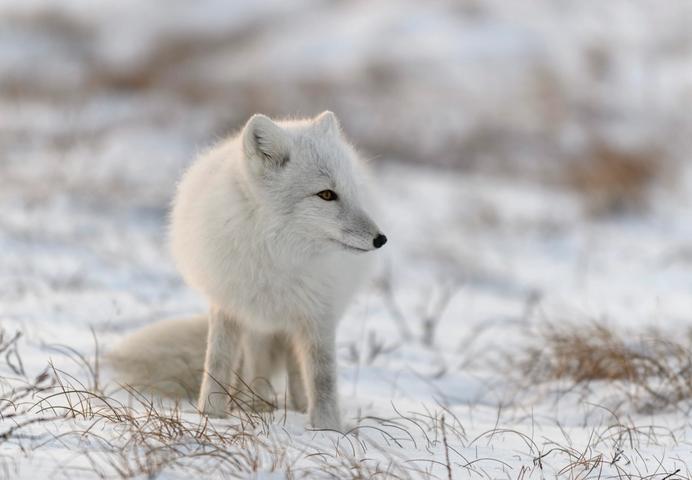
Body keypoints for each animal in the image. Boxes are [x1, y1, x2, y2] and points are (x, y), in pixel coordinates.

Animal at [111, 112, 386, 432]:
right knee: (255, 363)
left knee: (295, 369)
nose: (381, 239)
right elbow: (217, 364)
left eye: (353, 192)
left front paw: (327, 430)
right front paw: (211, 416)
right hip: (257, 321)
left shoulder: (318, 315)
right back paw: (256, 404)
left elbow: (323, 379)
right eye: (327, 194)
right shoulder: (227, 303)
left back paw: (294, 406)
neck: (277, 255)